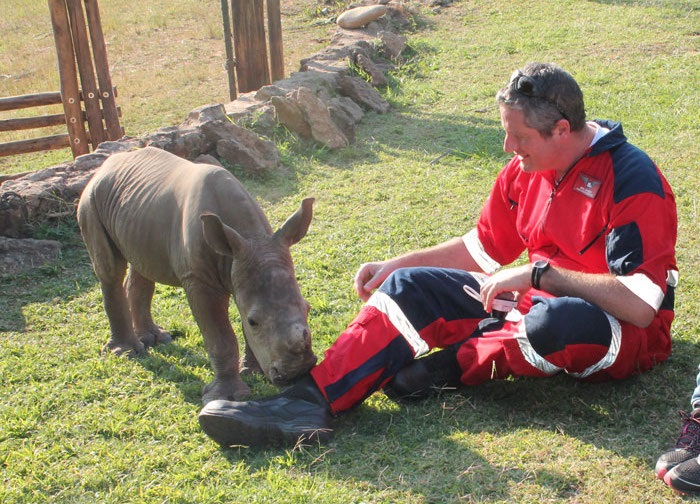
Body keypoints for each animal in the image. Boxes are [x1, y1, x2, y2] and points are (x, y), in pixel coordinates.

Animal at [78, 148, 316, 404]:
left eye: (308, 307)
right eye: (255, 321)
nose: (298, 372)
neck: (249, 237)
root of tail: (106, 164)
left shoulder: (243, 265)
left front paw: (251, 371)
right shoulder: (198, 278)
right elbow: (220, 337)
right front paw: (228, 396)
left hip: (136, 211)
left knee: (142, 265)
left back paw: (156, 339)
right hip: (91, 199)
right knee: (110, 269)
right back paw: (127, 352)